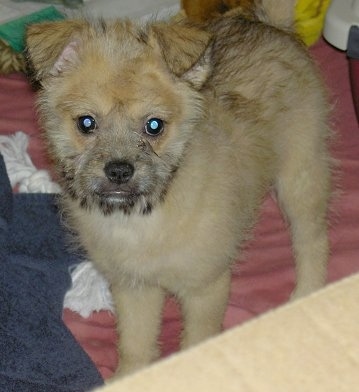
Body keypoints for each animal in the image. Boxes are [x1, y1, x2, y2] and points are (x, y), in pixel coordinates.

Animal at [26, 1, 334, 378]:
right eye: (86, 123)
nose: (119, 170)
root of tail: (271, 27)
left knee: (312, 239)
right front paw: (129, 379)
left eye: (154, 126)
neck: (141, 217)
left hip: (300, 176)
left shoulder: (205, 289)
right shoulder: (135, 288)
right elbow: (136, 346)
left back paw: (307, 292)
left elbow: (197, 342)